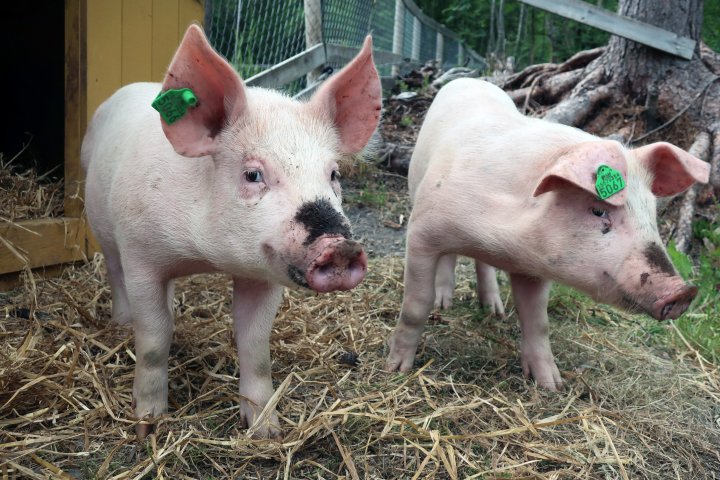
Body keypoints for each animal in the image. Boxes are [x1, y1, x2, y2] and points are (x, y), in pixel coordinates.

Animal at [81, 25, 382, 438]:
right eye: (253, 174)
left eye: (333, 174)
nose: (341, 246)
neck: (203, 257)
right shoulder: (141, 254)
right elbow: (154, 338)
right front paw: (148, 427)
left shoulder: (265, 276)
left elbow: (255, 345)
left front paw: (267, 432)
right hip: (102, 227)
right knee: (114, 272)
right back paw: (122, 322)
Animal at [388, 79, 708, 392]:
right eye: (598, 210)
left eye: (651, 212)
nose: (684, 291)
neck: (503, 244)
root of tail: (469, 78)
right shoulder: (421, 231)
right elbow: (416, 303)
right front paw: (396, 368)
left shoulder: (533, 269)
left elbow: (537, 322)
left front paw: (552, 386)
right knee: (449, 260)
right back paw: (445, 304)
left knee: (483, 266)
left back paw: (494, 310)